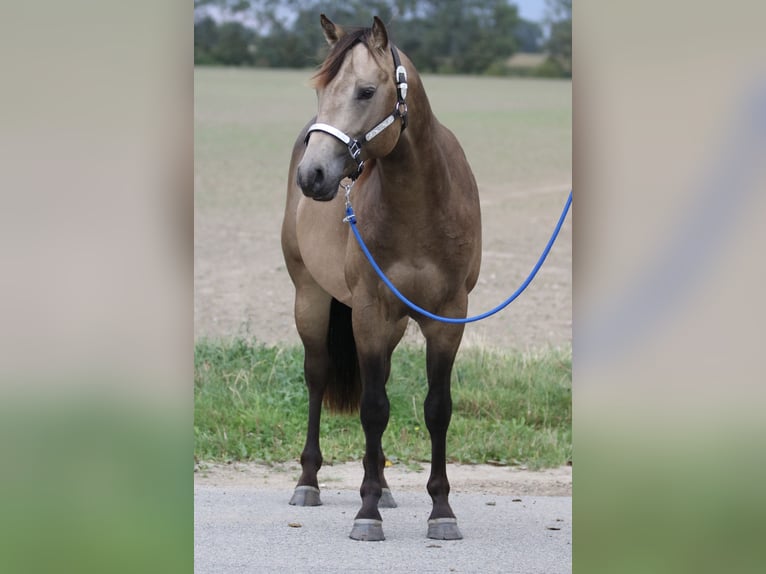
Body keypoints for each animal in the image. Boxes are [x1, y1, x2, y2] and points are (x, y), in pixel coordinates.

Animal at [281, 14, 481, 542]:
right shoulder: (370, 313)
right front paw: (366, 511)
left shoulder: (447, 317)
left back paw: (386, 485)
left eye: (366, 91)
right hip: (310, 299)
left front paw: (441, 511)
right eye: (321, 90)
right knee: (317, 376)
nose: (312, 176)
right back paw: (309, 482)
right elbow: (373, 407)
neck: (421, 206)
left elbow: (437, 408)